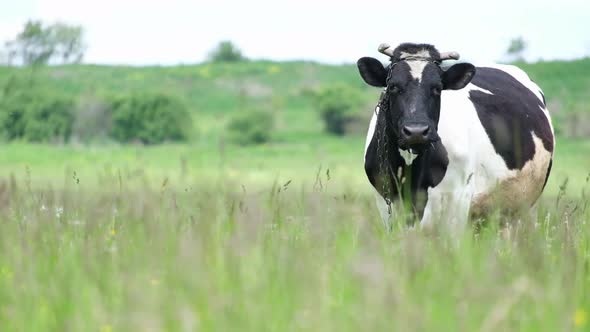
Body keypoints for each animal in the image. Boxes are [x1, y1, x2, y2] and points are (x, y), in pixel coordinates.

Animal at [358, 42, 556, 232]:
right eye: (393, 87)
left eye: (437, 88)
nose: (416, 131)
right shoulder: (385, 202)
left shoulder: (459, 199)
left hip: (527, 205)